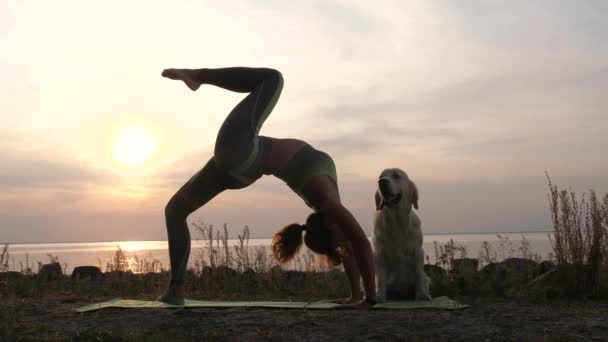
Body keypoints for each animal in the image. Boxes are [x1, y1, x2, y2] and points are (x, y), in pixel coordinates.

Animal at [372, 168, 430, 302]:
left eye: (396, 176)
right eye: (380, 177)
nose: (381, 182)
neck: (396, 221)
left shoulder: (418, 251)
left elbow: (418, 275)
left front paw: (421, 295)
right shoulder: (379, 253)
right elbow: (381, 279)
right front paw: (380, 297)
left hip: (426, 278)